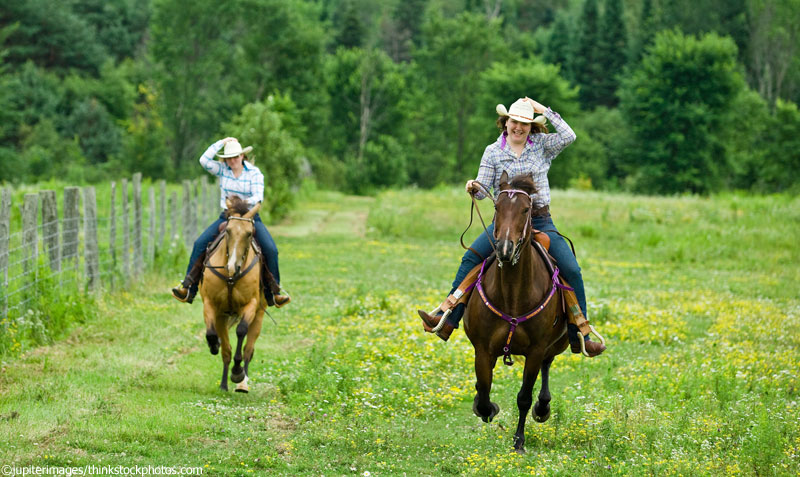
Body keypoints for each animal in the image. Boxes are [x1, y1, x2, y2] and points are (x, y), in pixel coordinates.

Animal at [198, 195, 264, 392]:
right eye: (227, 231)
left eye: (249, 233)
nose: (232, 266)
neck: (231, 277)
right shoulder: (211, 305)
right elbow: (212, 335)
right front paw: (214, 345)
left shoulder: (251, 305)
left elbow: (241, 331)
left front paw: (237, 372)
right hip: (222, 316)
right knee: (226, 351)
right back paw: (223, 384)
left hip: (259, 315)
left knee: (249, 350)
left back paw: (243, 383)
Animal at [462, 170, 568, 450]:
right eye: (497, 207)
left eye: (526, 209)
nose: (505, 248)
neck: (512, 294)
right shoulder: (482, 348)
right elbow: (484, 389)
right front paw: (486, 408)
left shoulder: (535, 351)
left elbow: (524, 397)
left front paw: (519, 441)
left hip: (557, 343)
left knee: (547, 365)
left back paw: (543, 408)